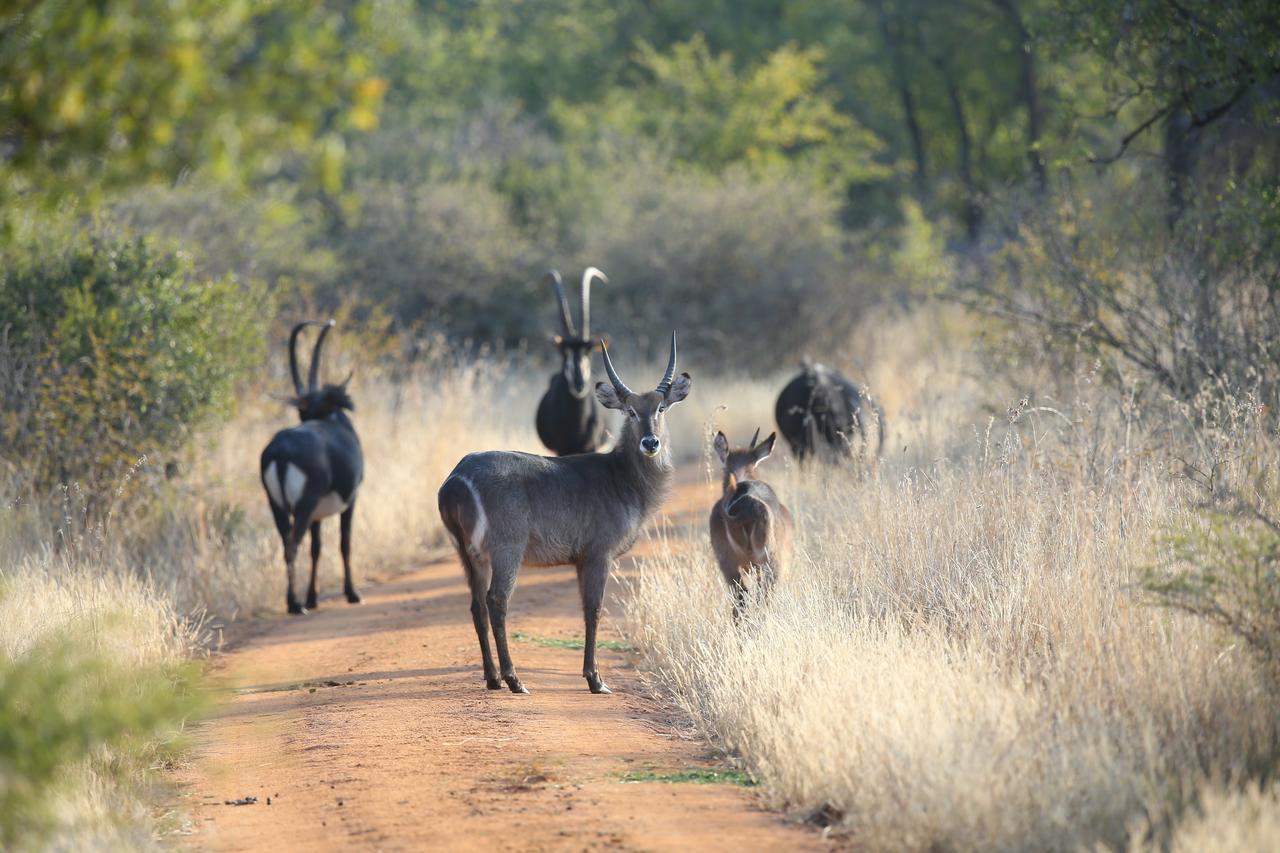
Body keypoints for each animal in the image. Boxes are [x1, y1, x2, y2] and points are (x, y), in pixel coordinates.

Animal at [258, 318, 363, 612]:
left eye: (301, 411)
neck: (329, 418)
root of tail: (281, 450)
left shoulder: (317, 514)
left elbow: (317, 548)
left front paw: (313, 598)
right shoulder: (351, 500)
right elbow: (344, 543)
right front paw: (352, 593)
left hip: (277, 506)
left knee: (286, 542)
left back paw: (296, 601)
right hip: (304, 504)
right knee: (293, 544)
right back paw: (294, 604)